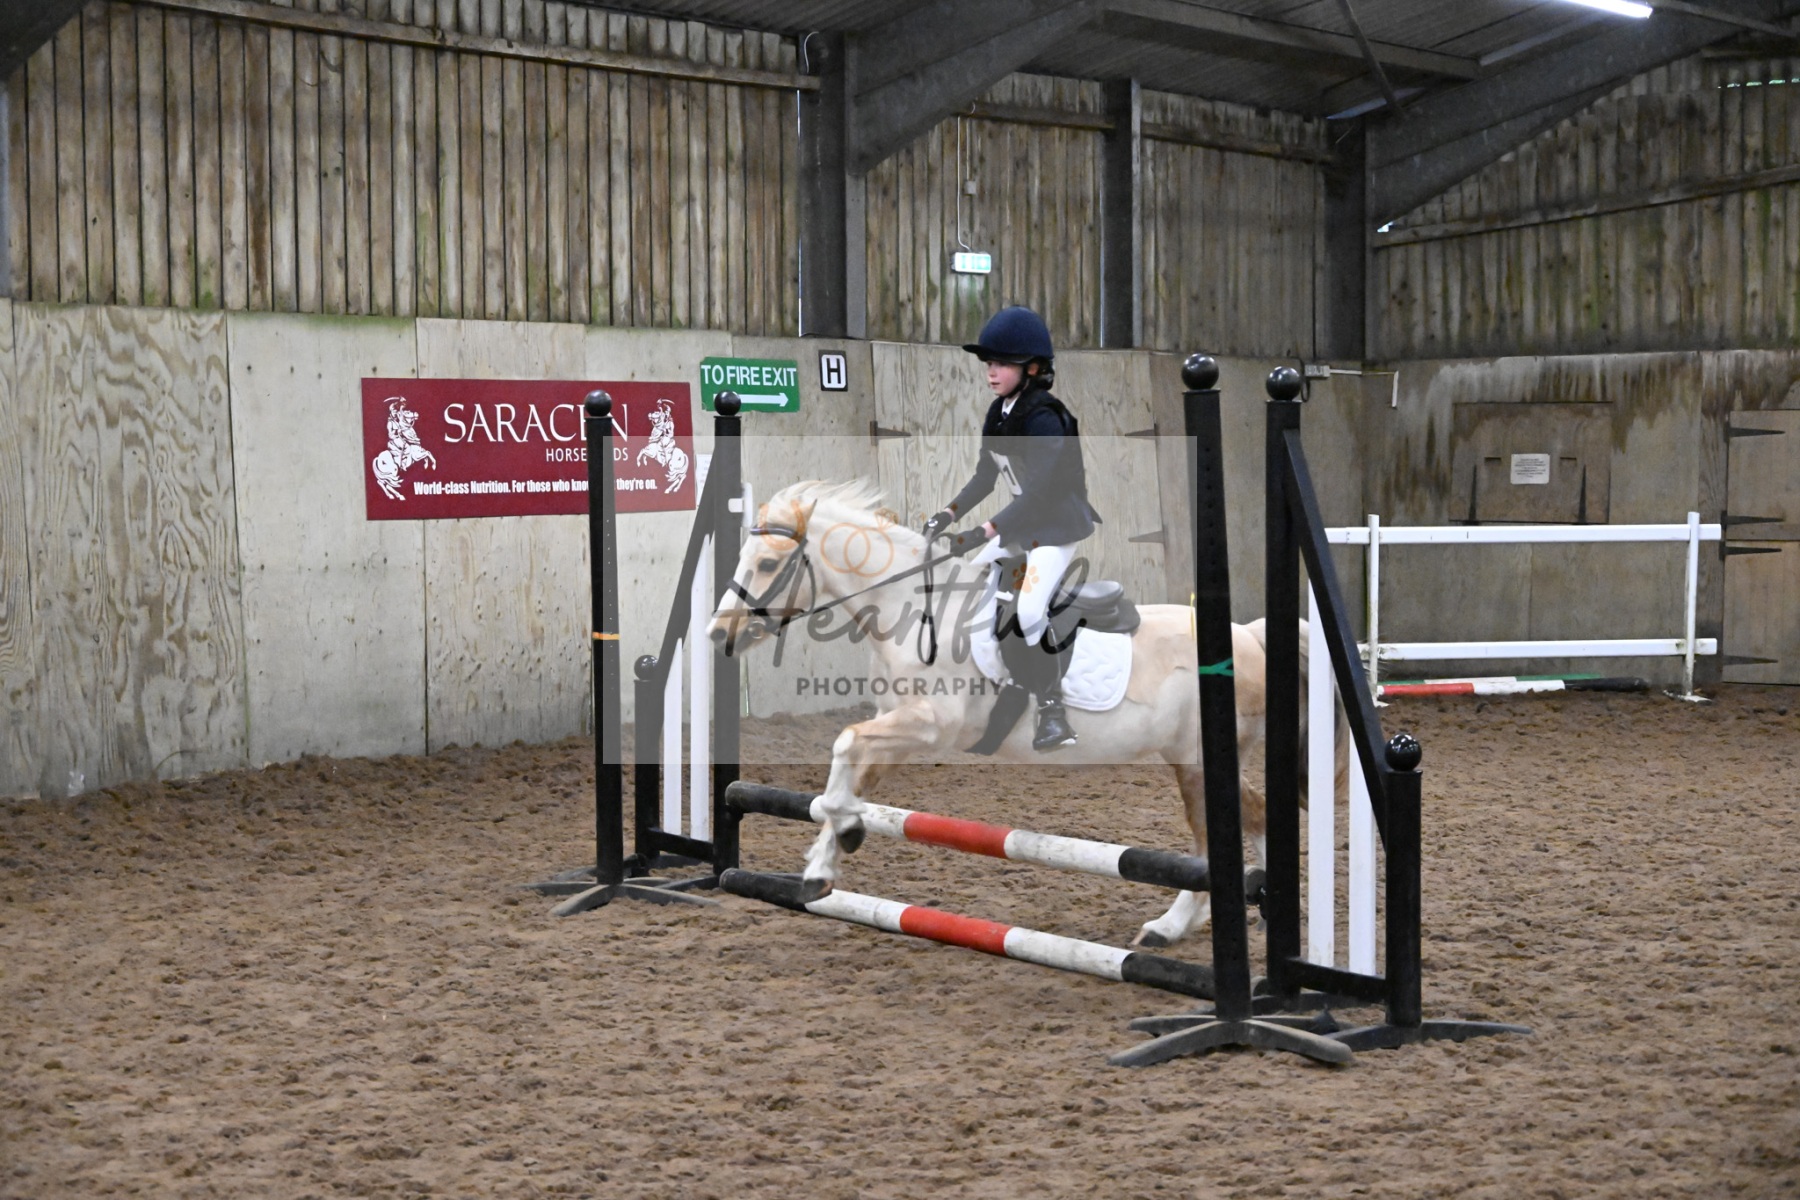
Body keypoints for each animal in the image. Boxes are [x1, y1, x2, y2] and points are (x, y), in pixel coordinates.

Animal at [708, 480, 1346, 949]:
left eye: (768, 565)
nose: (718, 634)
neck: (909, 604)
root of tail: (1252, 636)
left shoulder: (932, 723)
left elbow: (843, 742)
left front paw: (828, 854)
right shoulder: (901, 728)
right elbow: (852, 774)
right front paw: (834, 849)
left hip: (1197, 759)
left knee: (1220, 834)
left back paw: (1173, 926)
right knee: (1245, 819)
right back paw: (1244, 913)